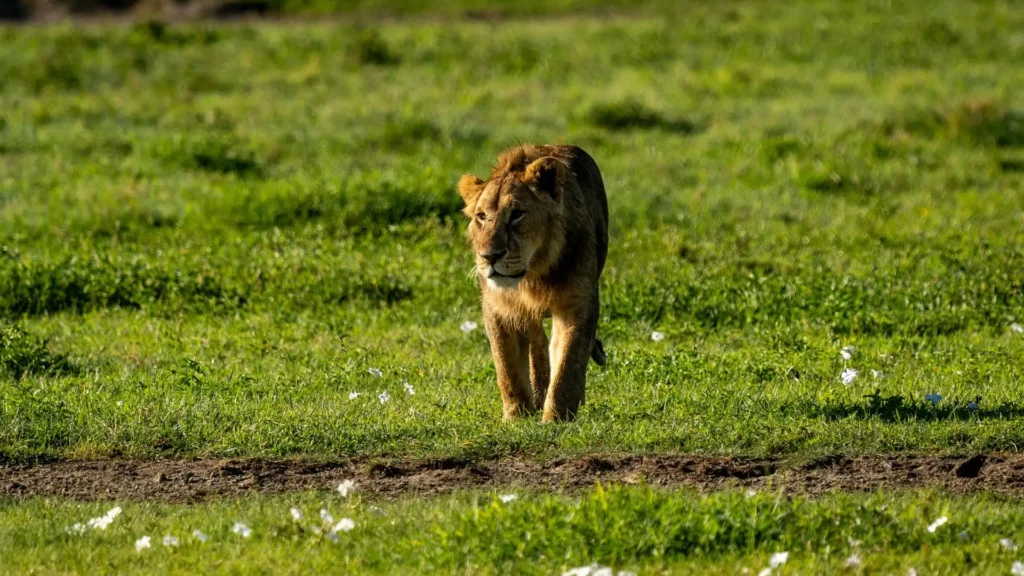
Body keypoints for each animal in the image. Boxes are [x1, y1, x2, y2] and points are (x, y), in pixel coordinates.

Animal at [457, 144, 608, 422]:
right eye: (481, 216)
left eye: (517, 215)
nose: (489, 256)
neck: (533, 276)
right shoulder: (498, 308)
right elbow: (507, 368)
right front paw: (517, 415)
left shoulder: (577, 305)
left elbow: (567, 364)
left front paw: (556, 419)